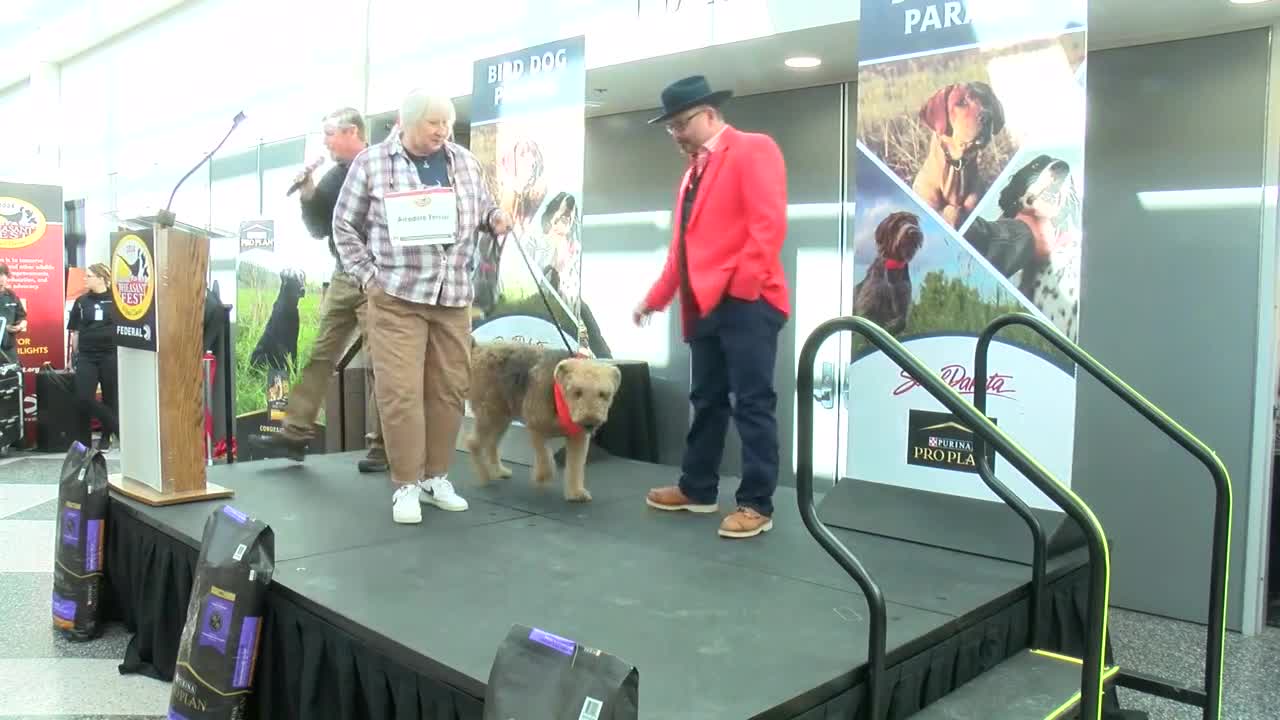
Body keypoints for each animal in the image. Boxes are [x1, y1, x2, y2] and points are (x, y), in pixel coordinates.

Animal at [468, 340, 622, 499]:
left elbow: (576, 465)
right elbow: (545, 457)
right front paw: (542, 477)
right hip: (489, 414)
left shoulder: (578, 437)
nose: (589, 422)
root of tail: (478, 348)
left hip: (501, 417)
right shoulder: (536, 427)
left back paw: (499, 471)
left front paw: (576, 493)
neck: (560, 397)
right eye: (577, 392)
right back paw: (484, 476)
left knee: (491, 444)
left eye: (603, 394)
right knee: (473, 443)